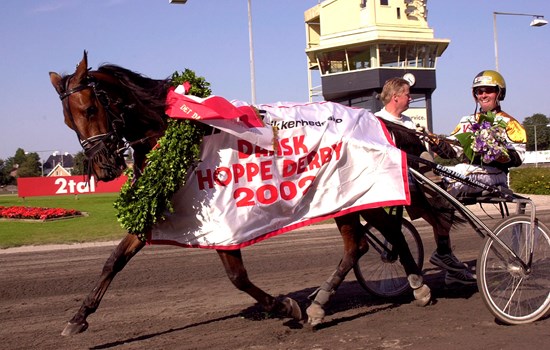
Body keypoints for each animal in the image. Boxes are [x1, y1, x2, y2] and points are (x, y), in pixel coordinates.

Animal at [49, 50, 432, 334]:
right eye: (69, 121)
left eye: (90, 109)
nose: (104, 169)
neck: (174, 128)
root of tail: (378, 121)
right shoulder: (157, 206)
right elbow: (114, 259)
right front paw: (79, 316)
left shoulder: (222, 216)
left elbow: (237, 277)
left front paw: (285, 306)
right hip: (346, 197)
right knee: (365, 242)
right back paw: (352, 295)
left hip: (354, 191)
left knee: (379, 236)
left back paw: (401, 287)